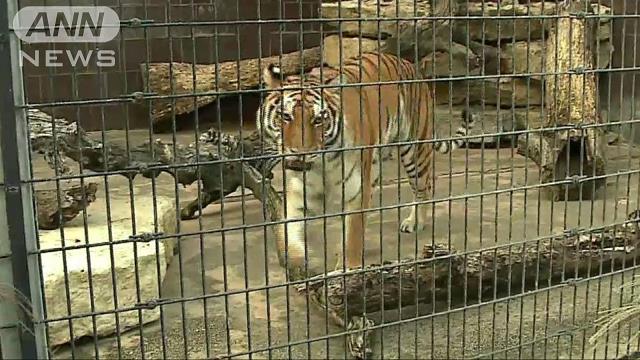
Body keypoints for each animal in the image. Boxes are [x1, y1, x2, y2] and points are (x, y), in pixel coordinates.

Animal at [258, 52, 476, 274]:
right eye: (285, 116)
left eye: (318, 119)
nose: (300, 153)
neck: (322, 164)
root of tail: (409, 65)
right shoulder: (299, 194)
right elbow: (289, 234)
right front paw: (297, 266)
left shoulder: (356, 194)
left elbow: (352, 238)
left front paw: (347, 271)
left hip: (414, 151)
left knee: (424, 188)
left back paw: (415, 222)